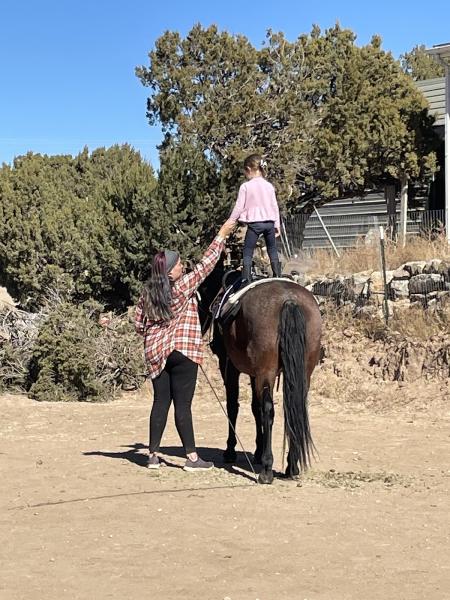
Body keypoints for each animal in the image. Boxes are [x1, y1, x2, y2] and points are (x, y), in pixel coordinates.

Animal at [199, 260, 322, 486]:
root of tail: (289, 300)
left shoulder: (230, 367)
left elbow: (235, 406)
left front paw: (231, 450)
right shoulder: (254, 372)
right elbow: (254, 407)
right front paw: (256, 451)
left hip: (266, 371)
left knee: (269, 410)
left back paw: (267, 469)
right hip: (303, 372)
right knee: (294, 408)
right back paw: (292, 466)